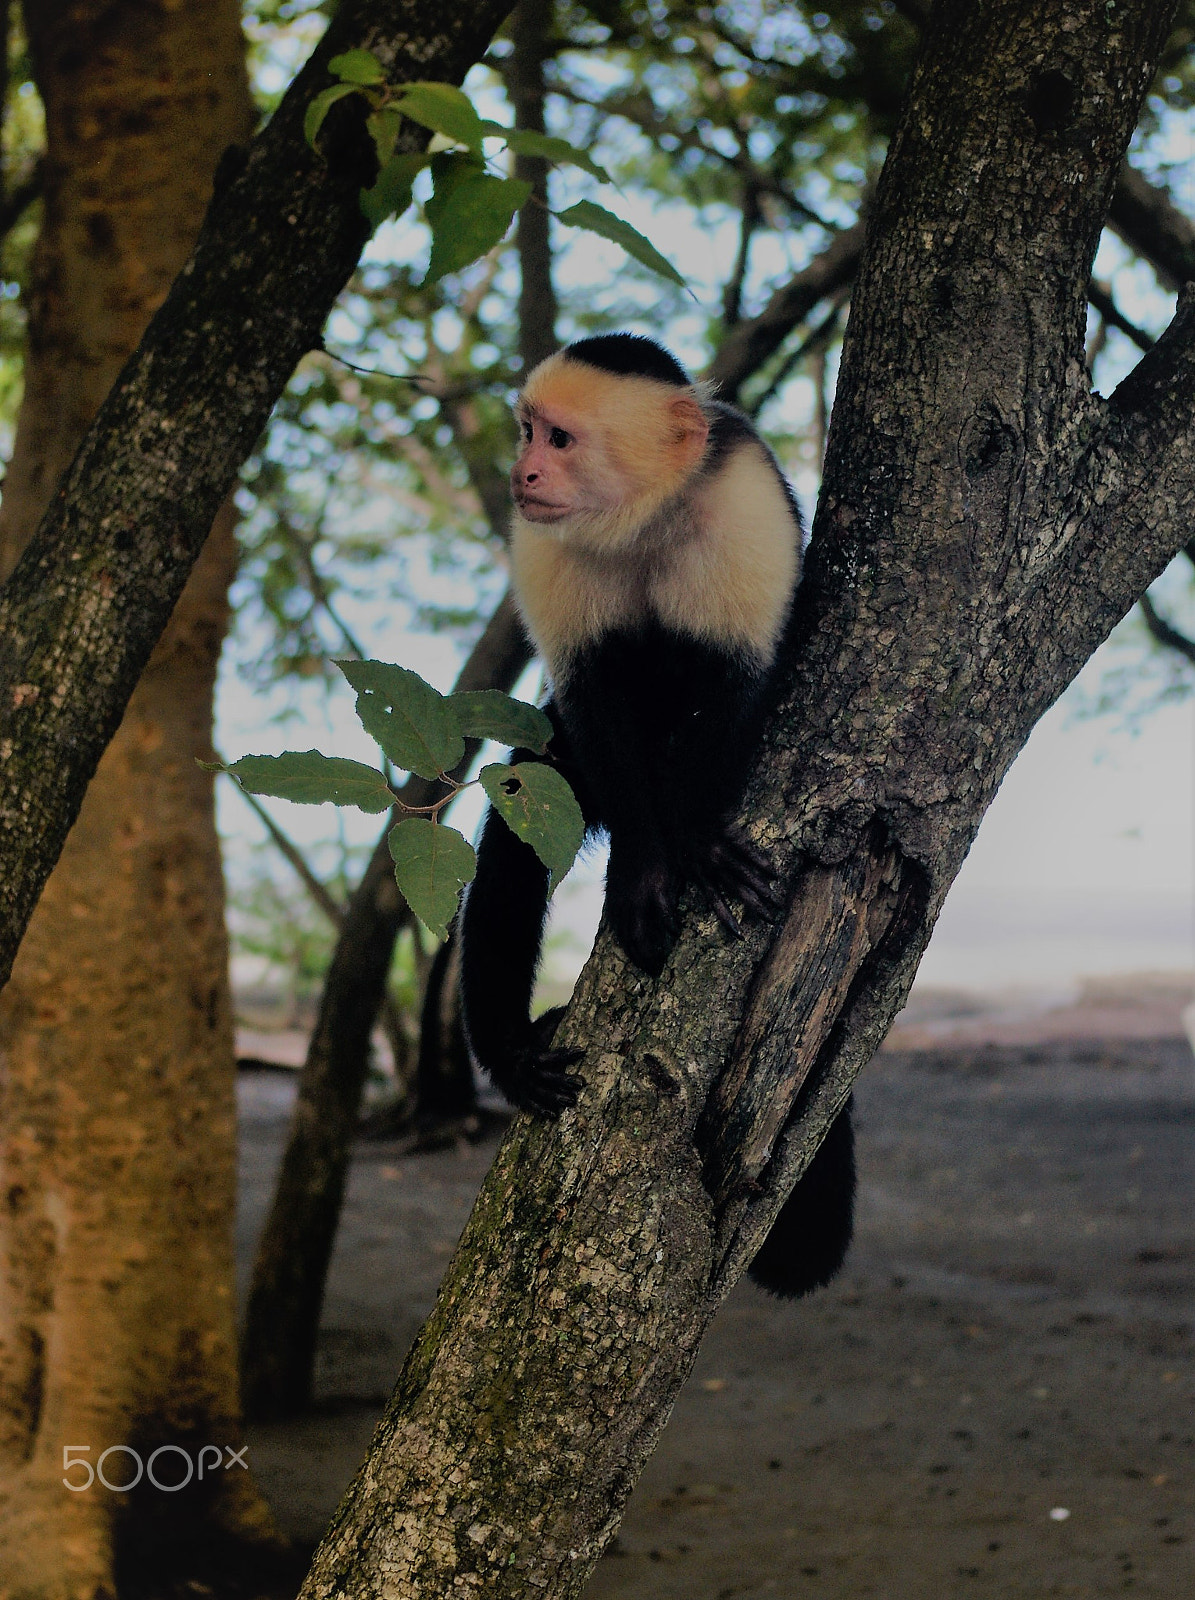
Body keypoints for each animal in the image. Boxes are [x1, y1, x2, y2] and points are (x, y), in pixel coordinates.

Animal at [460, 337, 857, 1299]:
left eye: (560, 438)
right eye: (527, 431)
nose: (524, 471)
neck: (635, 520)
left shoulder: (739, 499)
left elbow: (737, 682)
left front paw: (698, 844)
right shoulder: (542, 538)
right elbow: (591, 702)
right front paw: (644, 870)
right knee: (528, 807)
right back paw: (511, 1051)